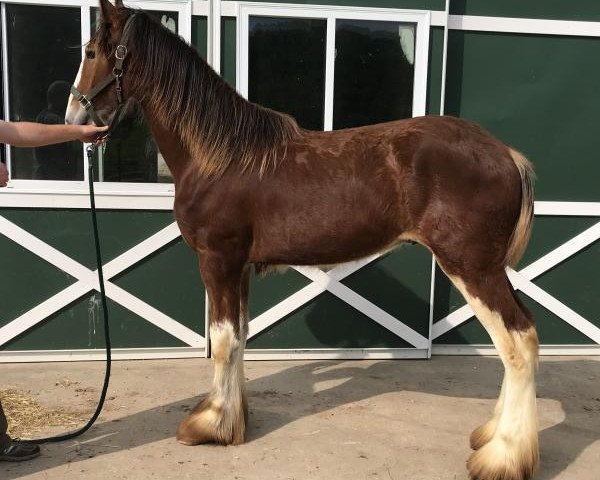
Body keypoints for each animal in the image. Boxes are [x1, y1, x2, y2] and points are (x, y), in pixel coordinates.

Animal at [67, 1, 540, 478]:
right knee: (524, 336)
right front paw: (235, 421)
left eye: (90, 52)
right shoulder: (239, 268)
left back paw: (501, 457)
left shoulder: (218, 261)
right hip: (491, 268)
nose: (74, 117)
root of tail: (506, 154)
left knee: (516, 344)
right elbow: (239, 337)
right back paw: (491, 437)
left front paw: (210, 425)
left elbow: (222, 341)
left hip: (471, 267)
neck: (220, 157)